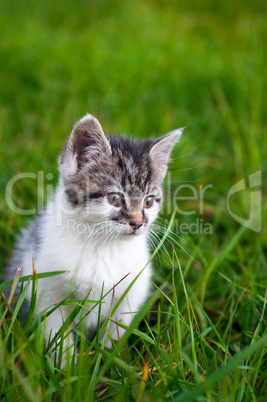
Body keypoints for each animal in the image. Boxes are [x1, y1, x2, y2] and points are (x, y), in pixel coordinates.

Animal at [5, 114, 182, 354]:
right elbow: (57, 331)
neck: (102, 245)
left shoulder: (132, 290)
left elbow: (117, 329)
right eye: (115, 198)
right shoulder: (44, 287)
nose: (138, 223)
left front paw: (109, 358)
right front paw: (65, 361)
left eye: (148, 201)